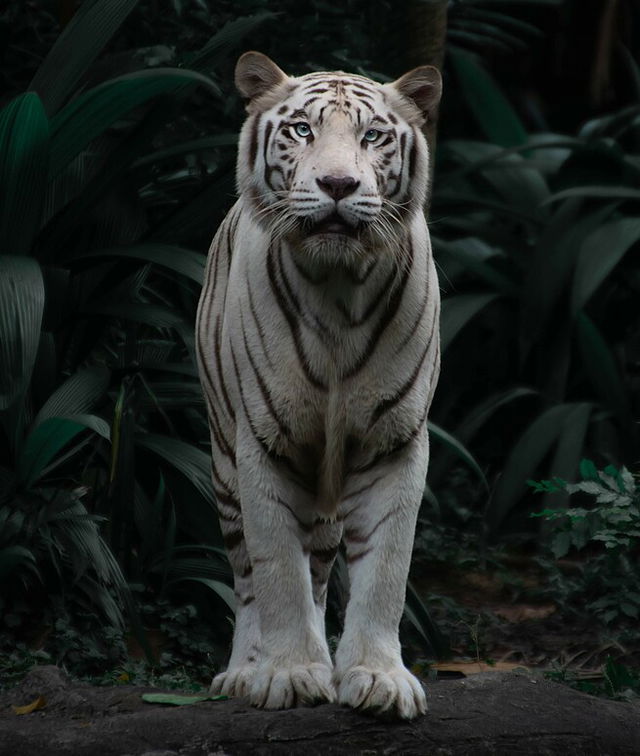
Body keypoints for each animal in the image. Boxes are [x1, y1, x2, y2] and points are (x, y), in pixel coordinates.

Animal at [198, 50, 442, 716]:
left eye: (373, 136)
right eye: (302, 130)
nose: (338, 186)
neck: (338, 289)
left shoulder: (394, 442)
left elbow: (386, 571)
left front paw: (377, 677)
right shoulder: (263, 443)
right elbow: (277, 570)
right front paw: (288, 673)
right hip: (224, 464)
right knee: (248, 578)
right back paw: (244, 671)